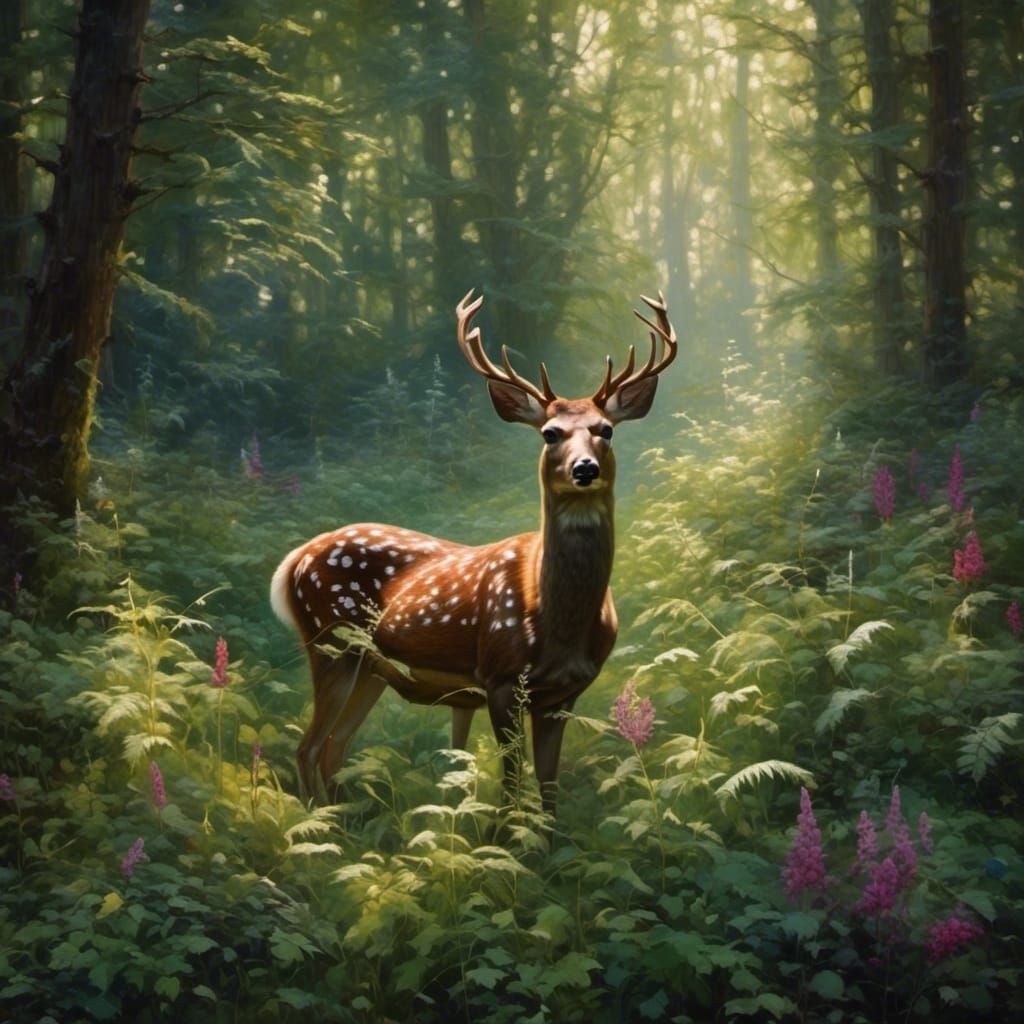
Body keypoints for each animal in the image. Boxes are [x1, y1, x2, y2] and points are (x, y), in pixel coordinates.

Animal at [270, 289, 677, 812]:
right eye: (550, 433)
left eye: (605, 429)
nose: (584, 468)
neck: (557, 622)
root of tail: (294, 560)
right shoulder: (501, 679)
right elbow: (511, 788)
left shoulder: (564, 694)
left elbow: (549, 792)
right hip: (330, 640)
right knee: (308, 747)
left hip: (369, 667)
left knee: (333, 748)